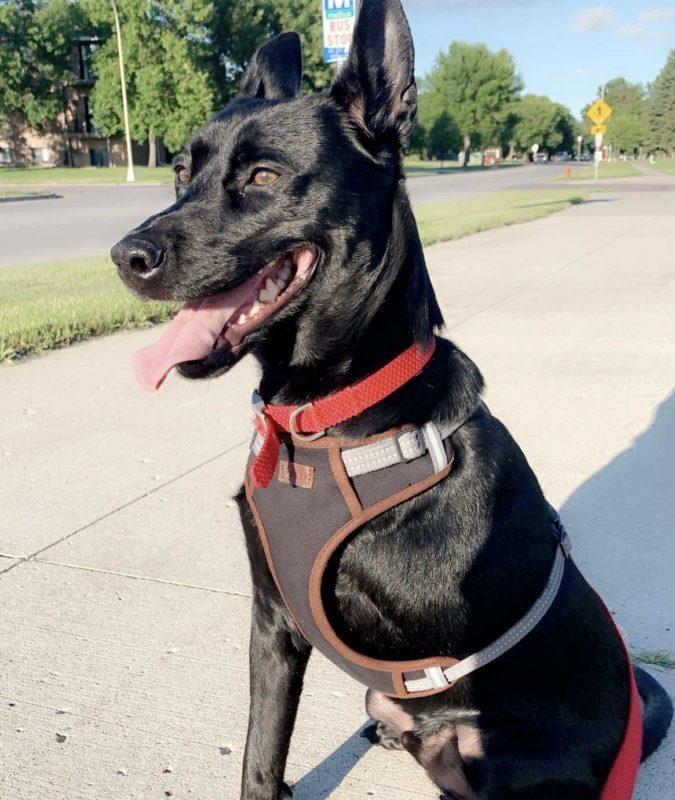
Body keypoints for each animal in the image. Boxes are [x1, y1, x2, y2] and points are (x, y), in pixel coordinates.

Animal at [113, 1, 672, 800]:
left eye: (262, 174)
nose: (125, 257)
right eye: (182, 172)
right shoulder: (272, 620)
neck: (319, 422)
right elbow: (260, 753)